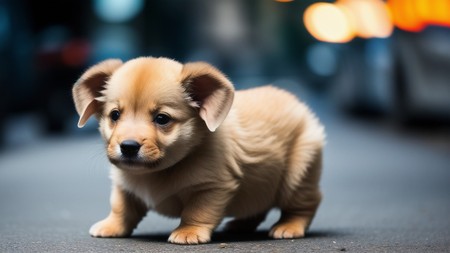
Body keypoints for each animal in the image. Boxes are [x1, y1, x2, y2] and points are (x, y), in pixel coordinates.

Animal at [72, 56, 326, 244]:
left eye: (162, 119)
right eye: (114, 115)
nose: (128, 147)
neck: (156, 172)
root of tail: (300, 105)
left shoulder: (212, 187)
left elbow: (197, 211)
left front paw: (188, 233)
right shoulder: (124, 186)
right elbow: (121, 207)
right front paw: (111, 226)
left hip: (298, 175)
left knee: (307, 204)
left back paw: (289, 227)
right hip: (262, 182)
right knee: (258, 206)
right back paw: (240, 225)